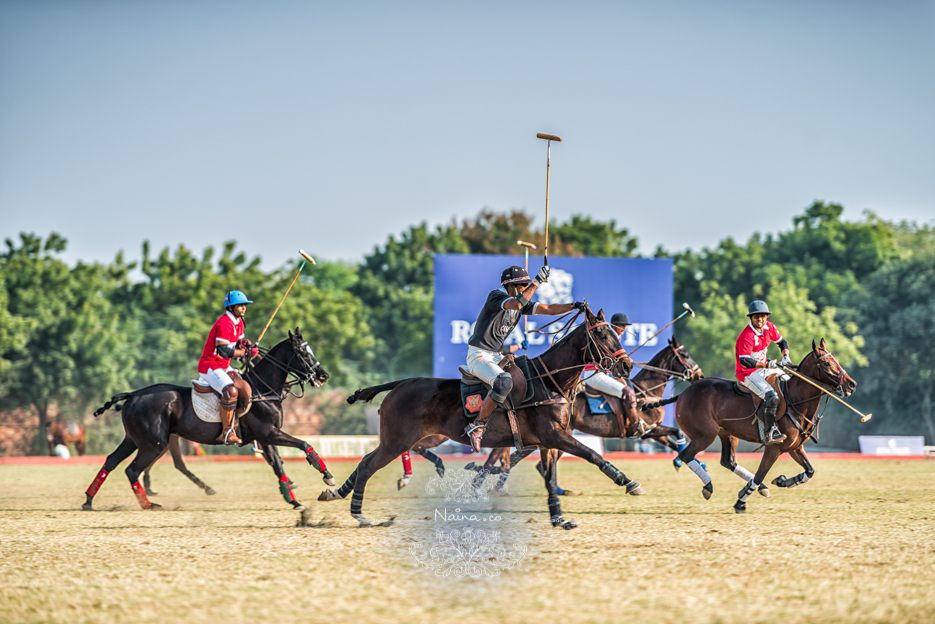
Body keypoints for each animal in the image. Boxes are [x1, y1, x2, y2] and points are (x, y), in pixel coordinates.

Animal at [82, 330, 334, 510]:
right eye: (303, 353)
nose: (323, 375)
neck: (263, 389)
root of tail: (133, 395)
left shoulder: (265, 437)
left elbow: (278, 465)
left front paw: (294, 500)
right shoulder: (268, 433)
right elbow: (304, 444)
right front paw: (327, 476)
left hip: (134, 439)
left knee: (111, 461)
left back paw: (88, 500)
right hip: (154, 444)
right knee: (132, 470)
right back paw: (149, 504)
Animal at [320, 304, 644, 528]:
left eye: (616, 333)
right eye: (601, 333)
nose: (627, 366)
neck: (550, 381)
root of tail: (400, 384)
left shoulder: (547, 443)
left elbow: (550, 479)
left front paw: (559, 519)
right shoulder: (554, 435)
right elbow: (592, 455)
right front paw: (628, 481)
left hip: (394, 439)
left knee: (364, 461)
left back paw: (337, 494)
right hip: (398, 440)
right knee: (368, 465)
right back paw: (360, 515)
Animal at [466, 338, 704, 494]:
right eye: (684, 354)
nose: (699, 375)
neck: (646, 390)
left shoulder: (651, 430)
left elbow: (675, 435)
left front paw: (693, 463)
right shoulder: (645, 430)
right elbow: (675, 433)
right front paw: (684, 462)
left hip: (556, 434)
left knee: (520, 458)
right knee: (505, 455)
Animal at [676, 338, 860, 516]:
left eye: (836, 360)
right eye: (827, 363)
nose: (851, 384)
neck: (796, 399)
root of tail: (683, 394)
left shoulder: (795, 447)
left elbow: (809, 471)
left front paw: (782, 481)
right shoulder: (774, 448)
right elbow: (759, 475)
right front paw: (740, 502)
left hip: (727, 434)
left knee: (728, 461)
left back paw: (758, 487)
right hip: (705, 435)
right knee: (686, 455)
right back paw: (708, 486)